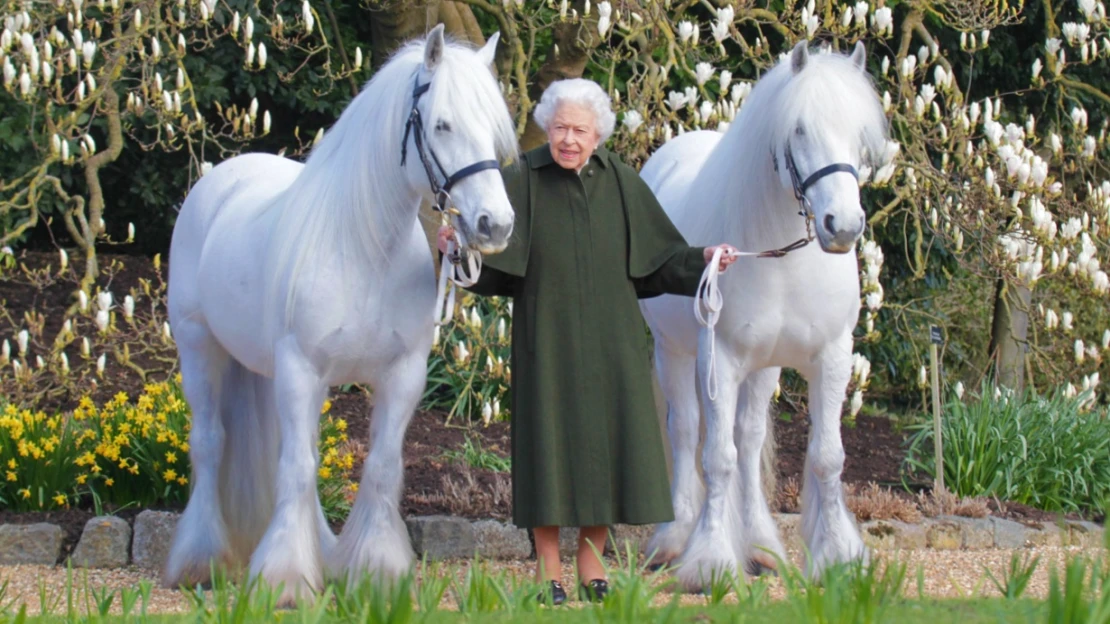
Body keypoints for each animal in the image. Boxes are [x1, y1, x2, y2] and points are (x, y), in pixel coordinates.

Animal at [162, 25, 517, 604]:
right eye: (442, 123)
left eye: (492, 129)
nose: (496, 224)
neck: (364, 250)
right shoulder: (301, 369)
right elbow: (297, 469)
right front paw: (284, 580)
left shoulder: (401, 376)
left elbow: (380, 467)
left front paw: (376, 572)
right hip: (199, 348)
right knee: (211, 443)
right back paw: (201, 560)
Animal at [639, 42, 888, 586]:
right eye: (799, 129)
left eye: (859, 133)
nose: (843, 226)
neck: (782, 257)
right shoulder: (721, 359)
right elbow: (716, 458)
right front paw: (710, 560)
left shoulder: (832, 357)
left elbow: (825, 457)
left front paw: (838, 556)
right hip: (675, 353)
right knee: (686, 430)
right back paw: (675, 538)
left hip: (764, 367)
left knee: (749, 440)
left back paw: (760, 546)